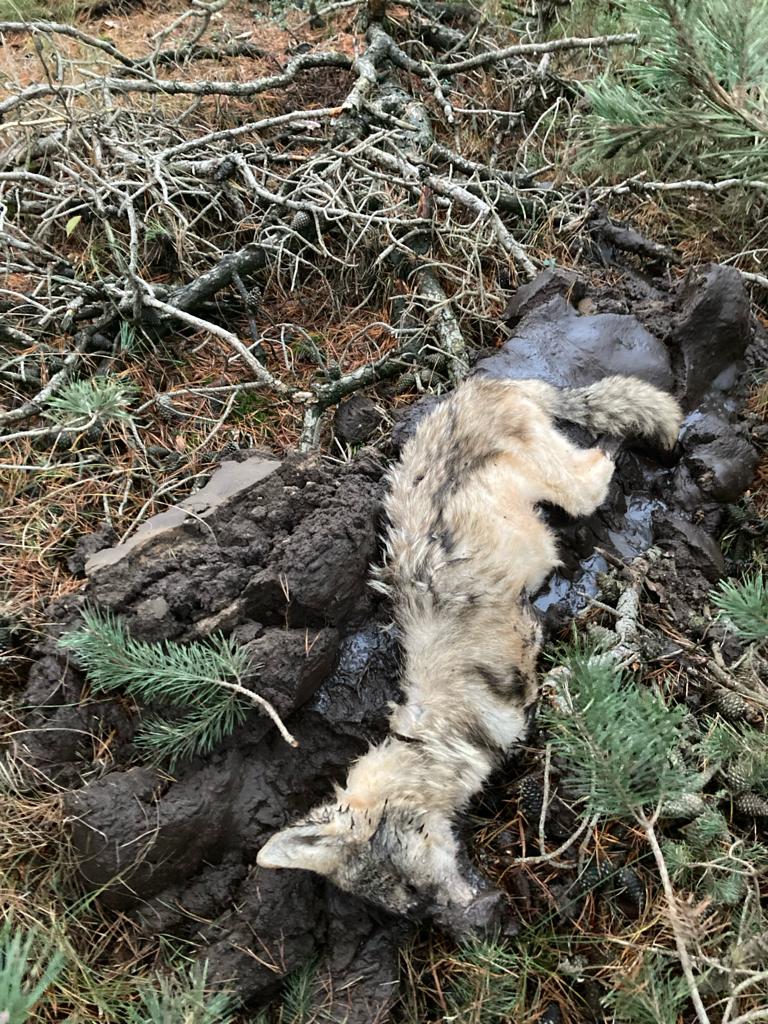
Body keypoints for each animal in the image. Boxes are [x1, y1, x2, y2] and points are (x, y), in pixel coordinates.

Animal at [257, 375, 682, 931]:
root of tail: (483, 385)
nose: (482, 923)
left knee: (599, 459)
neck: (438, 732)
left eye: (411, 887)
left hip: (572, 490)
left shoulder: (528, 648)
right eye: (411, 908)